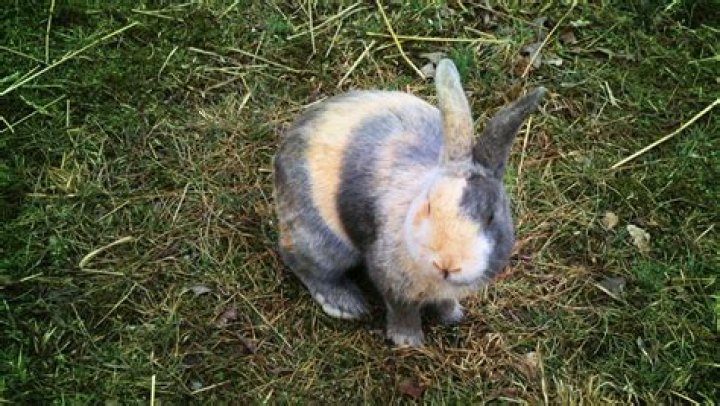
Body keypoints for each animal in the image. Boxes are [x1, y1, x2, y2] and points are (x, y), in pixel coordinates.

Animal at [273, 58, 545, 346]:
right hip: (322, 239)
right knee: (302, 261)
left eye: (491, 217)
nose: (447, 263)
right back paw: (345, 304)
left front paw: (452, 316)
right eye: (428, 205)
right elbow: (402, 310)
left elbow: (445, 301)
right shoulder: (391, 279)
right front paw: (408, 341)